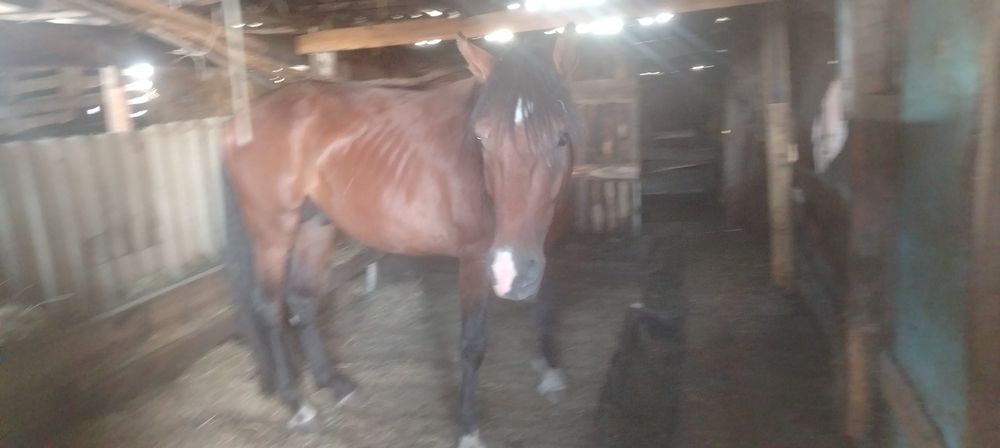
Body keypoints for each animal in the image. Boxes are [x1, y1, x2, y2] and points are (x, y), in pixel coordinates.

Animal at [221, 28, 579, 448]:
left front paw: (550, 371)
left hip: (315, 225)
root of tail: (237, 122)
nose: (512, 271)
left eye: (562, 137)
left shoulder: (546, 251)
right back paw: (297, 403)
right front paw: (467, 427)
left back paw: (334, 384)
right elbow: (472, 344)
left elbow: (546, 309)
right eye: (481, 138)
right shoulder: (476, 261)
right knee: (268, 307)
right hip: (273, 231)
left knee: (302, 300)